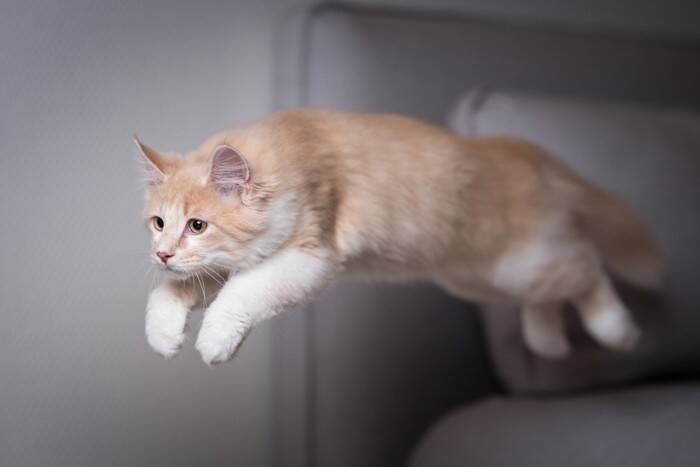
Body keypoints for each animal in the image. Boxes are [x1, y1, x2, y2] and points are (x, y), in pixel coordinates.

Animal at [136, 109, 661, 365]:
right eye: (158, 223)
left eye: (197, 225)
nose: (160, 254)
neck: (288, 153)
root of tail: (519, 151)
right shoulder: (224, 263)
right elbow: (171, 291)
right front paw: (163, 335)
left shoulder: (309, 256)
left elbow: (243, 293)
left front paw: (215, 341)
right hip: (479, 277)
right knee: (556, 286)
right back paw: (548, 342)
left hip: (518, 265)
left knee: (587, 264)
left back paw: (617, 330)